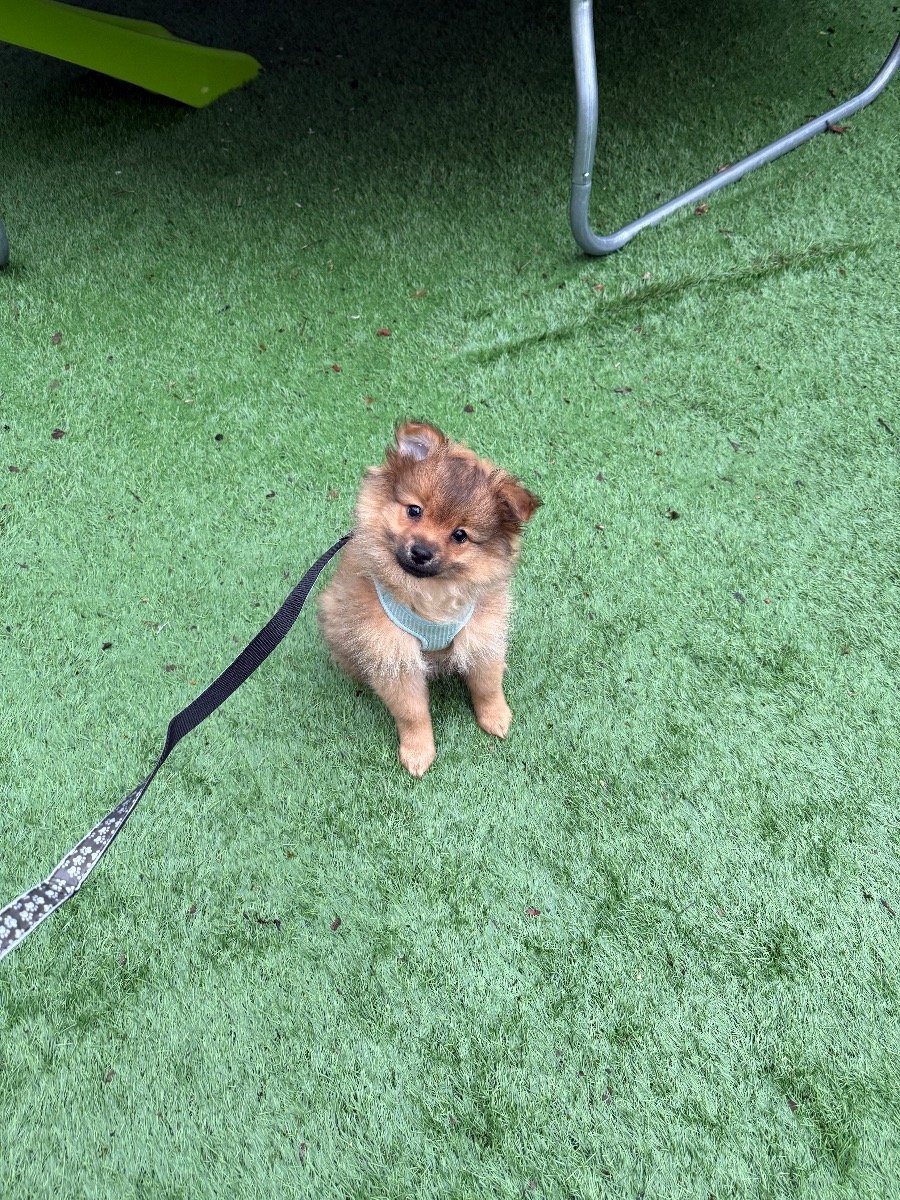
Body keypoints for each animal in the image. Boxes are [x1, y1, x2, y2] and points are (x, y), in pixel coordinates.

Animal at [317, 421, 541, 776]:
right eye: (414, 510)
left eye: (460, 535)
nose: (421, 551)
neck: (431, 597)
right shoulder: (394, 655)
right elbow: (412, 712)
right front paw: (418, 750)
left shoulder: (482, 633)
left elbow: (487, 684)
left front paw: (496, 716)